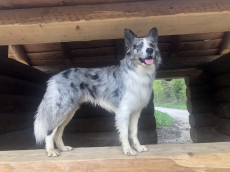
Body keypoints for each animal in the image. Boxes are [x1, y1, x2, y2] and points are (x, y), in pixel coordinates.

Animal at [34, 27, 161, 157]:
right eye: (139, 46)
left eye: (151, 45)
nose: (150, 50)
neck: (138, 73)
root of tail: (54, 78)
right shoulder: (124, 111)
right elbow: (125, 133)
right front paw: (128, 150)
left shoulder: (136, 111)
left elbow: (134, 132)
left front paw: (138, 147)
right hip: (61, 110)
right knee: (50, 130)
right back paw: (51, 151)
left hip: (69, 112)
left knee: (59, 131)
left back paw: (63, 148)